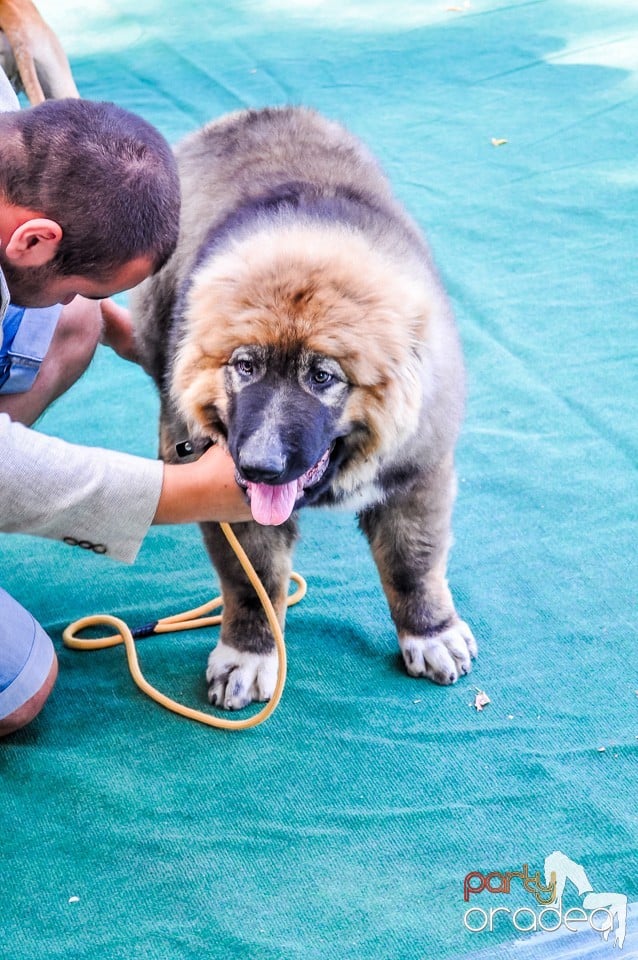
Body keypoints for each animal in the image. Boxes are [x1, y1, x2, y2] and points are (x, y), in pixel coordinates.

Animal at [132, 107, 478, 712]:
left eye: (322, 377)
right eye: (245, 366)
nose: (259, 466)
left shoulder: (418, 472)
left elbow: (413, 563)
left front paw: (431, 633)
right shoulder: (232, 504)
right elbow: (252, 584)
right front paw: (248, 655)